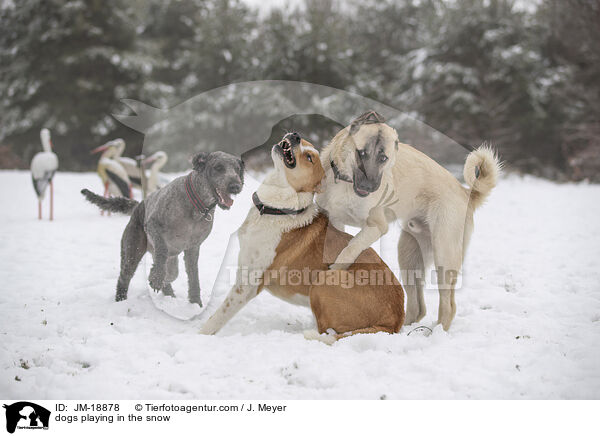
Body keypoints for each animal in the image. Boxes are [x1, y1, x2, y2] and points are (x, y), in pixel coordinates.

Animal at [82, 152, 244, 304]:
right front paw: (156, 277)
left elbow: (193, 277)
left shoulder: (193, 248)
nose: (236, 186)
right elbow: (162, 249)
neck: (197, 205)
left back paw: (169, 297)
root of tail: (138, 206)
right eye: (218, 167)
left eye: (237, 169)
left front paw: (195, 303)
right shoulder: (154, 226)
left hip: (171, 264)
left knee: (170, 277)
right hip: (132, 251)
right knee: (124, 277)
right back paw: (121, 299)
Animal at [199, 131, 406, 342]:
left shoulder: (248, 283)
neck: (278, 210)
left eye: (309, 158)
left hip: (323, 280)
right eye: (305, 143)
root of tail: (393, 322)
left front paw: (198, 334)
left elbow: (219, 315)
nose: (295, 135)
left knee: (327, 332)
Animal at [314, 111, 502, 330]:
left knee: (448, 306)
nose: (370, 186)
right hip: (409, 256)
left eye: (383, 158)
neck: (345, 182)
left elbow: (351, 247)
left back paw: (435, 333)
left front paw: (336, 270)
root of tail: (466, 193)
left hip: (444, 254)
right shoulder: (334, 220)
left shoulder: (376, 226)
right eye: (361, 153)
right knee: (418, 307)